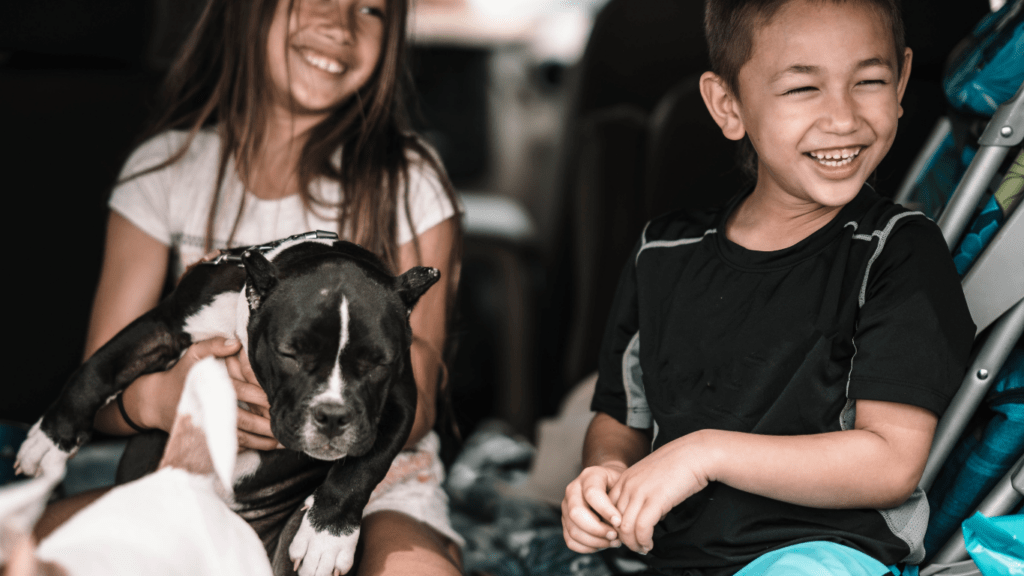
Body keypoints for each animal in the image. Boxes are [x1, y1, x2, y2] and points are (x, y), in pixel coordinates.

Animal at [12, 229, 440, 573]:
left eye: (378, 363)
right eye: (290, 354)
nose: (332, 416)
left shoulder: (400, 401)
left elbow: (365, 466)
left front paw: (328, 536)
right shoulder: (165, 326)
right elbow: (100, 367)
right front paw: (51, 438)